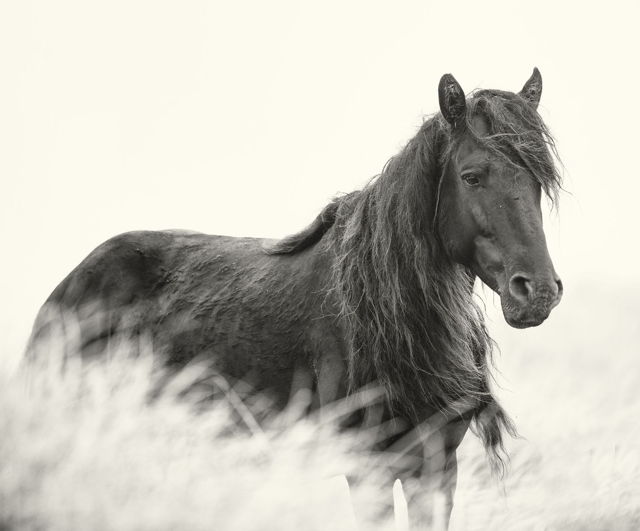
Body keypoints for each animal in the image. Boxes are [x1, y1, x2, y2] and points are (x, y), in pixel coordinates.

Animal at [27, 68, 562, 529]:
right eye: (472, 176)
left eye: (538, 181)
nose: (537, 292)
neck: (390, 322)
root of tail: (70, 286)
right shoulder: (366, 469)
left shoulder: (435, 469)